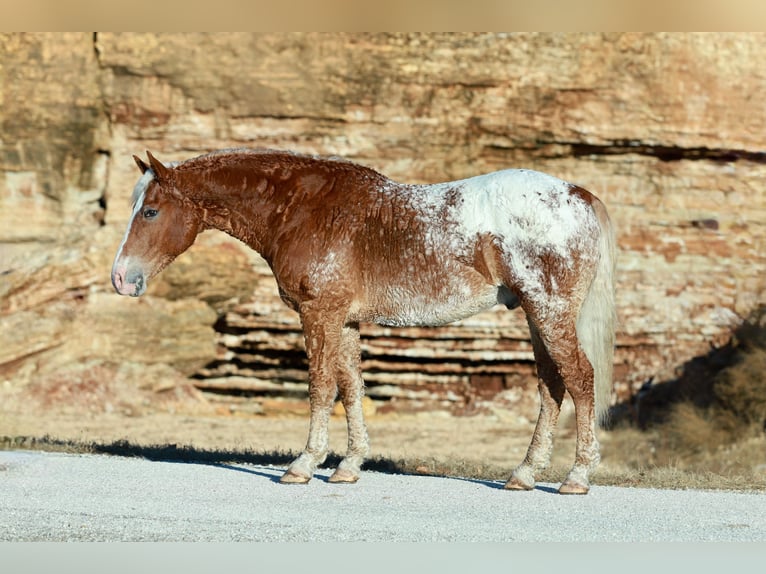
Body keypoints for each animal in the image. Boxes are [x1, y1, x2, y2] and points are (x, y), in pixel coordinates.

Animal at [111, 148, 616, 494]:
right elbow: (351, 387)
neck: (302, 209)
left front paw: (304, 464)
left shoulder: (319, 314)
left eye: (151, 211)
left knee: (579, 379)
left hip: (548, 311)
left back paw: (576, 476)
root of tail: (579, 195)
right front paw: (349, 466)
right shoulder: (345, 321)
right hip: (536, 314)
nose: (120, 278)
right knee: (552, 385)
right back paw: (524, 474)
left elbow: (320, 387)